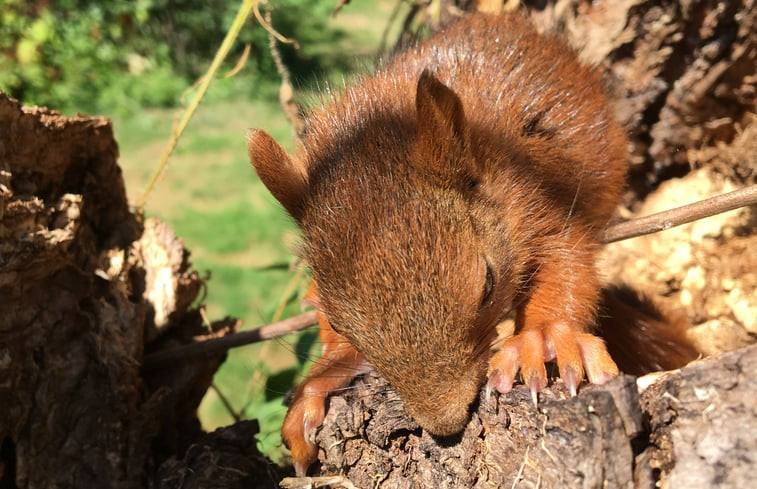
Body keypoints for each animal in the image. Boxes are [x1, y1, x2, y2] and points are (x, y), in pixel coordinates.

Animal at [247, 12, 696, 476]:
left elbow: (567, 262)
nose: (445, 424)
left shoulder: (539, 196)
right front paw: (321, 377)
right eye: (336, 323)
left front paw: (545, 338)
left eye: (488, 285)